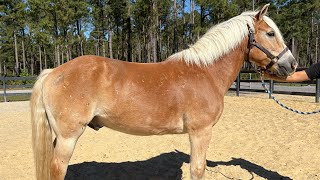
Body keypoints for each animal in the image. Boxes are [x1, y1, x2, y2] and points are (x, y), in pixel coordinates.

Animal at [31, 4, 296, 180]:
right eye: (270, 33)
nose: (291, 64)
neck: (206, 72)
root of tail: (54, 72)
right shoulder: (201, 132)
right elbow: (197, 170)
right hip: (68, 137)